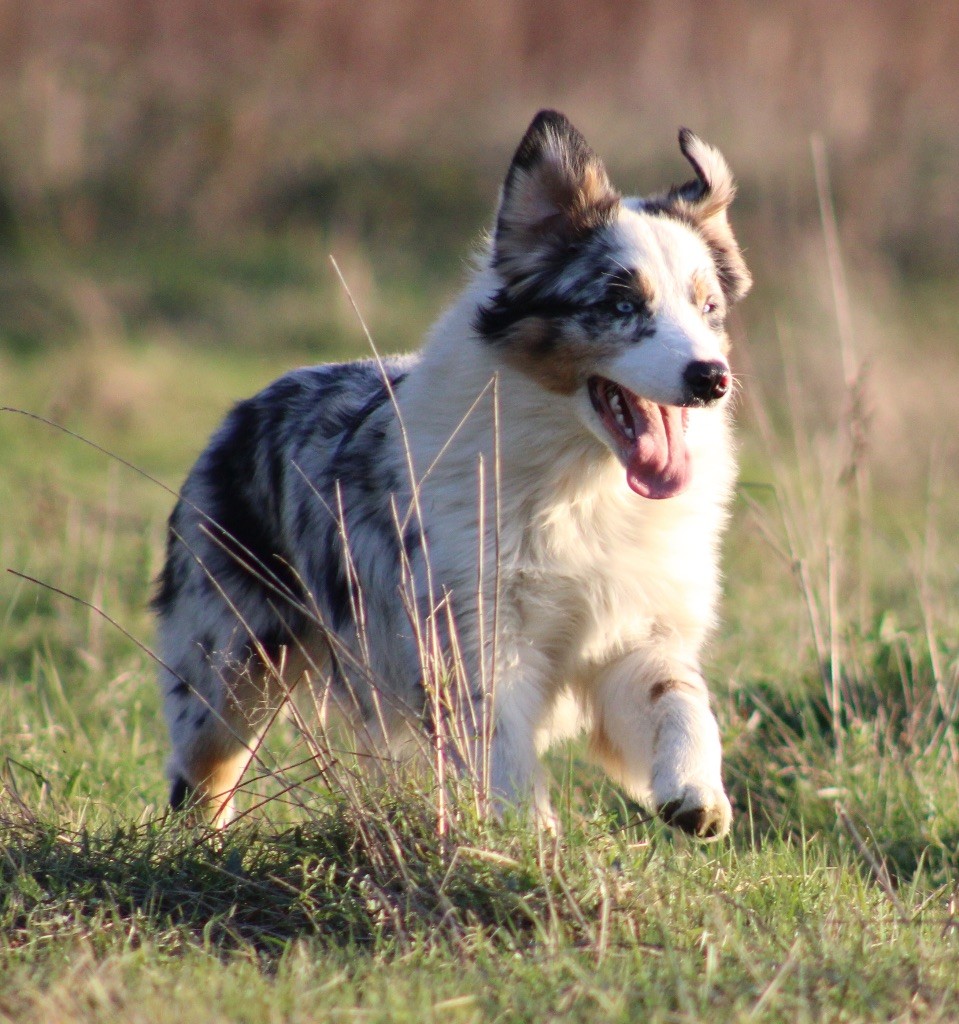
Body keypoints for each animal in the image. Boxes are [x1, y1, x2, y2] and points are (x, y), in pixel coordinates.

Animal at [153, 110, 751, 836]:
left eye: (708, 308)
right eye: (620, 304)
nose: (711, 378)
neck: (582, 484)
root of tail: (246, 409)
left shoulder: (636, 628)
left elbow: (681, 702)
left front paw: (695, 794)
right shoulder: (476, 637)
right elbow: (502, 753)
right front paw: (530, 842)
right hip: (228, 666)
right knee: (201, 777)